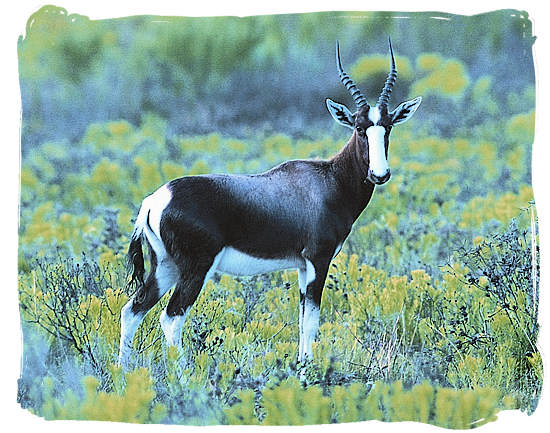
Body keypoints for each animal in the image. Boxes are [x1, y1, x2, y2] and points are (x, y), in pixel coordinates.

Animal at [119, 38, 422, 366]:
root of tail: (155, 201)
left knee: (132, 310)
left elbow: (302, 321)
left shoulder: (302, 266)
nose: (380, 174)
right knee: (172, 317)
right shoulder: (318, 259)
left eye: (388, 127)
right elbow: (312, 321)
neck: (328, 180)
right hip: (194, 269)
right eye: (358, 127)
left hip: (165, 266)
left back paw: (123, 371)